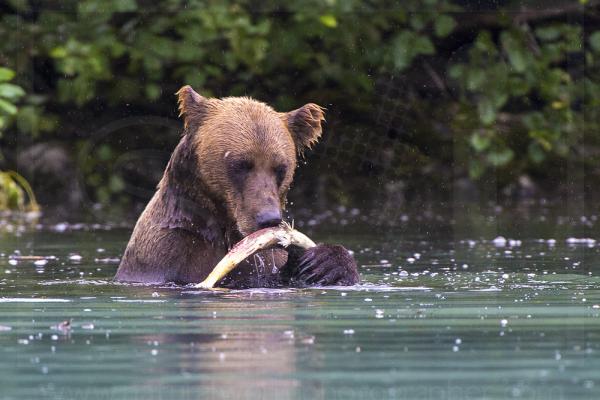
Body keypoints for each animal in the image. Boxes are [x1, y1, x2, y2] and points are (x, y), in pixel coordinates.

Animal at [116, 85, 360, 288]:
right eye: (241, 164)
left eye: (280, 167)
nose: (268, 219)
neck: (226, 230)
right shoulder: (172, 254)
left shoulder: (267, 260)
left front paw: (324, 262)